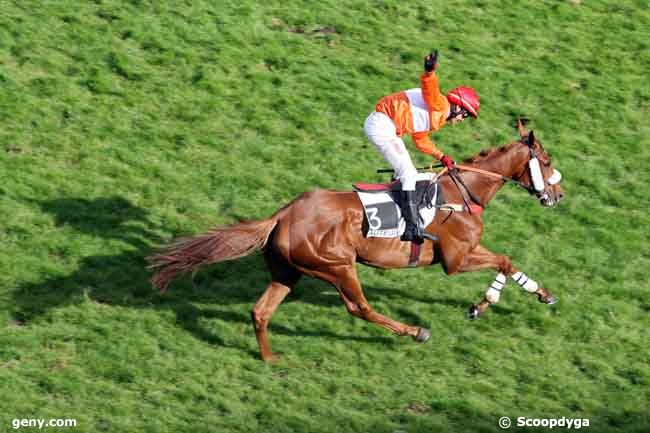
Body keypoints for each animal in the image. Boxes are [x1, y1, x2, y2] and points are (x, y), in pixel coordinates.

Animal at [147, 119, 560, 362]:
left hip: (288, 272)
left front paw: (538, 294)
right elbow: (503, 259)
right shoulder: (456, 259)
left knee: (260, 311)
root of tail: (283, 214)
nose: (558, 195)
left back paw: (268, 358)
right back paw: (415, 332)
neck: (462, 192)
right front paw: (485, 303)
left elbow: (508, 261)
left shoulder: (466, 252)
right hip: (338, 266)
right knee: (359, 307)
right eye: (547, 161)